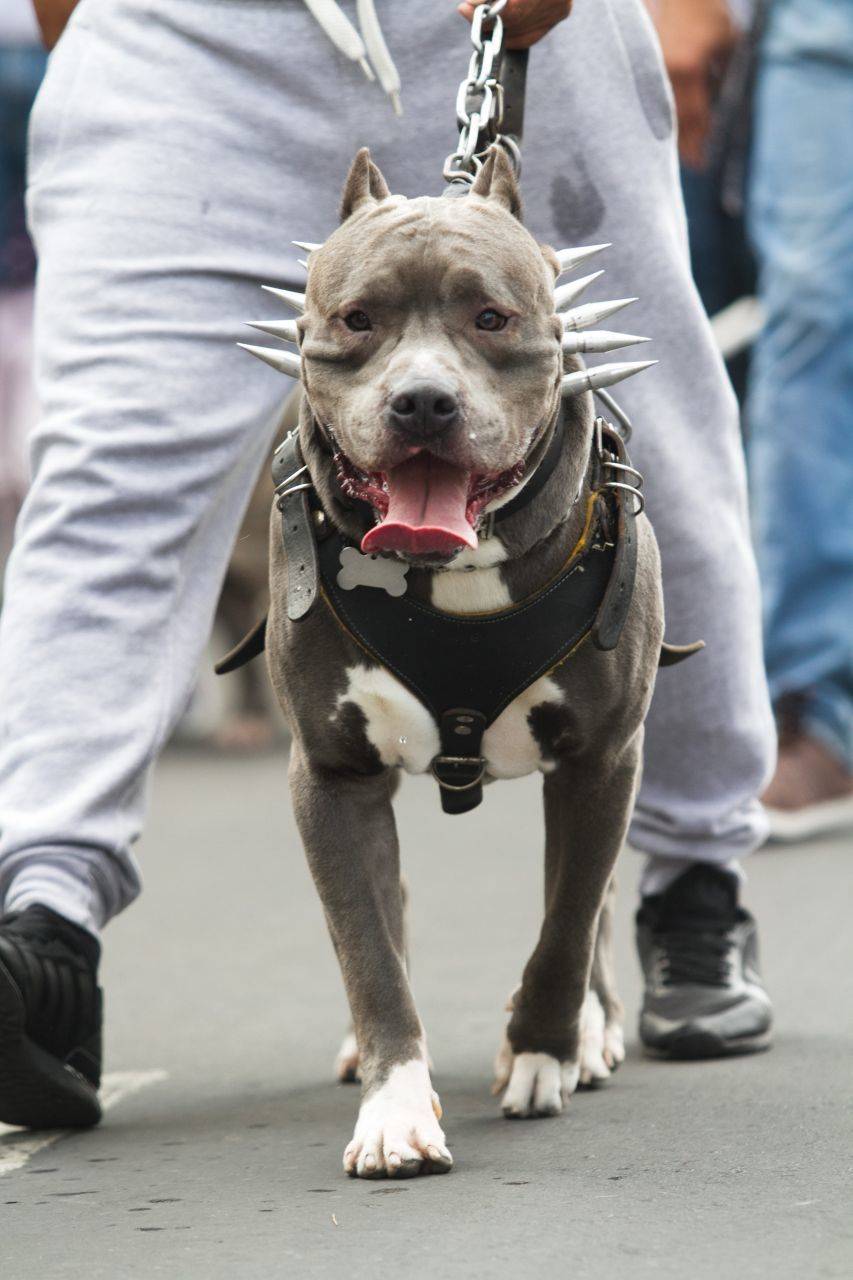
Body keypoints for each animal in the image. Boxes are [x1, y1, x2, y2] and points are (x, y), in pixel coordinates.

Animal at [227, 147, 696, 1177]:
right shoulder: (331, 775)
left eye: (491, 317)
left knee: (590, 906)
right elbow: (367, 946)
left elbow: (566, 925)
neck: (453, 576)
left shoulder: (601, 760)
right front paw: (395, 1108)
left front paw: (542, 1050)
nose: (422, 401)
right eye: (357, 319)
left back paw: (593, 1030)